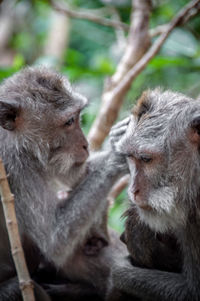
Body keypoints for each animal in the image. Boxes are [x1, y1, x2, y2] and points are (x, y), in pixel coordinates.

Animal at [0, 67, 128, 298]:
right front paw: (117, 153)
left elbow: (81, 175)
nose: (86, 145)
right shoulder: (16, 171)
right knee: (17, 287)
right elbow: (54, 242)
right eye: (69, 122)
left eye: (78, 117)